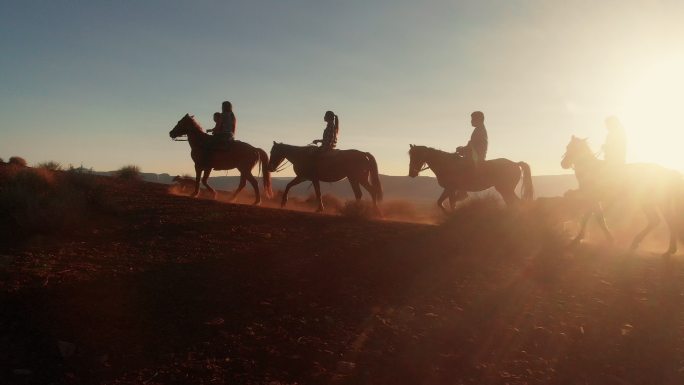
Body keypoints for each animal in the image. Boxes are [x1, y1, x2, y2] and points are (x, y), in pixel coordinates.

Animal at [406, 143, 536, 212]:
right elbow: (440, 202)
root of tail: (516, 163)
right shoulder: (449, 189)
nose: (411, 173)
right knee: (513, 203)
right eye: (410, 156)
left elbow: (451, 204)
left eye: (416, 156)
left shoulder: (451, 189)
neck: (446, 164)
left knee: (516, 203)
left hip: (505, 189)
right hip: (505, 190)